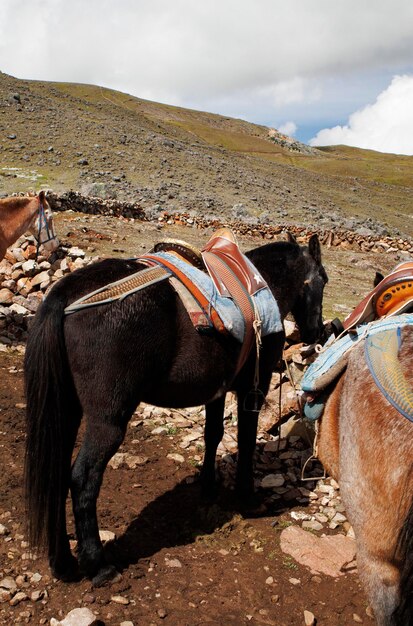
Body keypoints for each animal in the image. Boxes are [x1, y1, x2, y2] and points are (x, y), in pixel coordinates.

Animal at [24, 232, 326, 584]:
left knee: (57, 473)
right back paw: (98, 565)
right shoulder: (254, 386)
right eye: (323, 279)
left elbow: (213, 434)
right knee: (83, 478)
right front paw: (248, 498)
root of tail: (67, 296)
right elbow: (247, 441)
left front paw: (208, 486)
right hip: (107, 420)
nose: (318, 331)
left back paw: (63, 563)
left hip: (69, 410)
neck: (264, 284)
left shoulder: (216, 391)